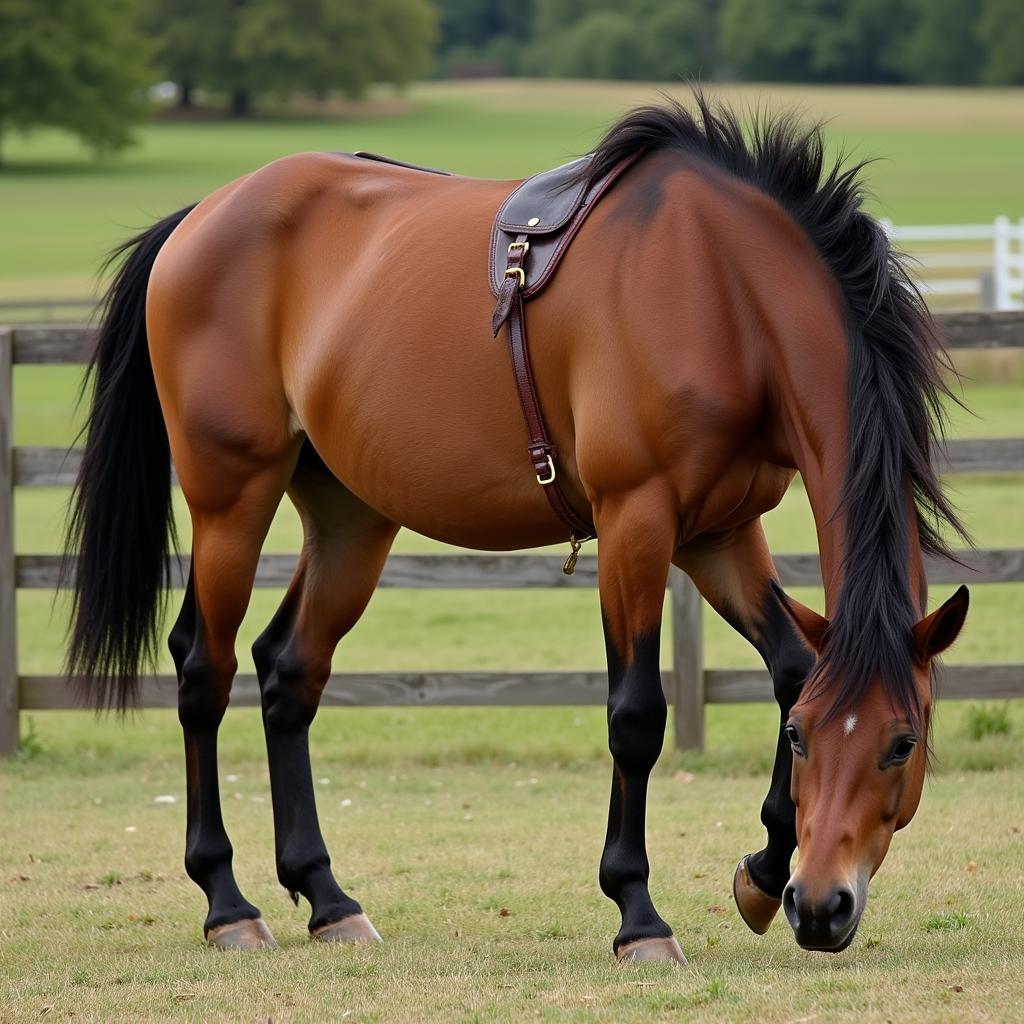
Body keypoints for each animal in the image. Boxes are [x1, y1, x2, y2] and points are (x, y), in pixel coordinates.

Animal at [64, 90, 966, 958]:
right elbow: (636, 715)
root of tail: (202, 215)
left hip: (352, 519)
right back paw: (228, 906)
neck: (723, 290)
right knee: (203, 672)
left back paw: (328, 900)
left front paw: (762, 870)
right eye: (809, 740)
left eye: (902, 741)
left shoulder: (720, 532)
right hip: (231, 499)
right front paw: (639, 915)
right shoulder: (637, 521)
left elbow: (787, 665)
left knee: (289, 672)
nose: (820, 907)